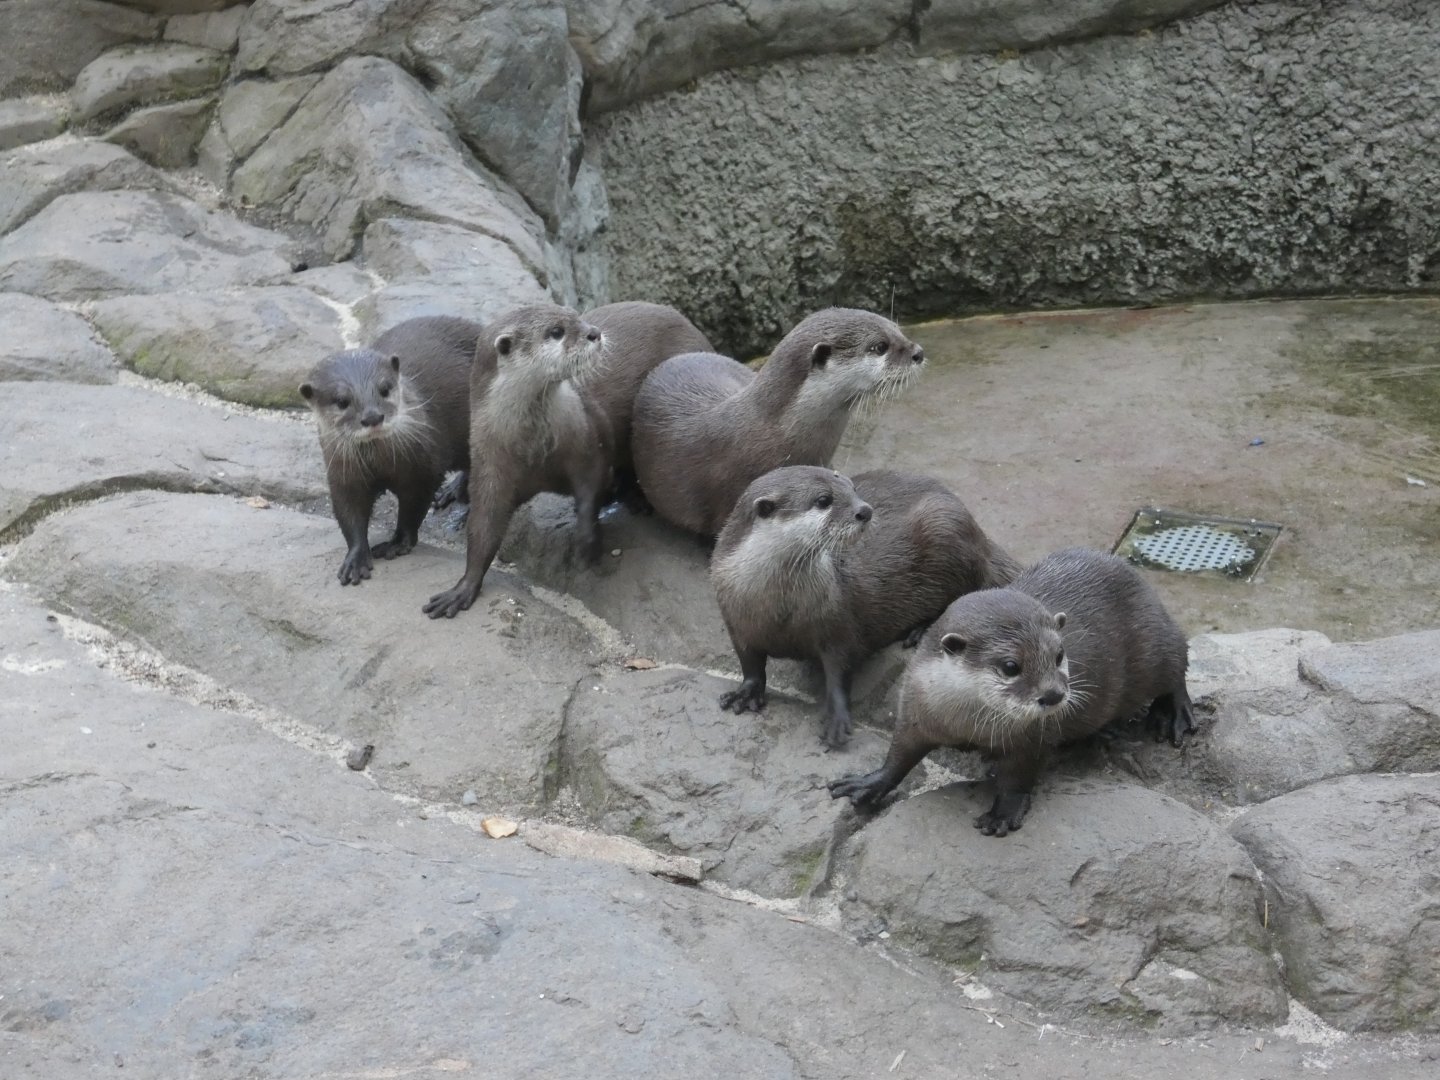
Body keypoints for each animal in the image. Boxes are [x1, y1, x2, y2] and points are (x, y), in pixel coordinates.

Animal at [300, 315, 480, 585]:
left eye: (384, 389)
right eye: (342, 401)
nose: (373, 417)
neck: (380, 463)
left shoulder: (423, 472)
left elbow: (412, 510)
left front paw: (397, 543)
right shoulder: (343, 475)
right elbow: (349, 513)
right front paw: (356, 558)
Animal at [423, 304, 611, 619]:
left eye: (576, 315)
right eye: (556, 331)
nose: (594, 332)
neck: (535, 447)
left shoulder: (584, 436)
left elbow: (591, 483)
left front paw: (586, 540)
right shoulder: (490, 463)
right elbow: (484, 525)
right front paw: (464, 586)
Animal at [712, 467, 1020, 748]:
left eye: (851, 487)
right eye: (823, 499)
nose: (865, 510)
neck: (780, 609)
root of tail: (979, 535)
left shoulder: (838, 622)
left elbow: (841, 669)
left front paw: (837, 717)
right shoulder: (735, 619)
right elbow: (750, 662)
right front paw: (746, 692)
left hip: (945, 531)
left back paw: (921, 630)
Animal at [829, 548, 1196, 836]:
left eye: (1059, 654)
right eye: (1010, 666)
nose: (1054, 695)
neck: (966, 724)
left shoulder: (1032, 738)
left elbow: (1019, 777)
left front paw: (1003, 813)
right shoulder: (916, 709)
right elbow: (899, 755)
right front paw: (869, 784)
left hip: (1154, 646)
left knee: (1178, 661)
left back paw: (1172, 715)